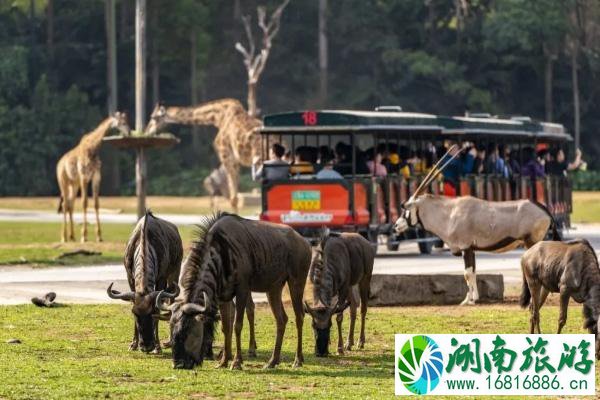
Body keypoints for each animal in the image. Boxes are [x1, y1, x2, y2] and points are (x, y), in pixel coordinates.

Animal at [56, 113, 130, 244]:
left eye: (127, 121)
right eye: (123, 122)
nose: (129, 132)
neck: (93, 148)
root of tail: (59, 163)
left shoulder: (96, 176)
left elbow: (96, 204)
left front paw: (99, 236)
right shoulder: (83, 176)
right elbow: (84, 203)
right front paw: (84, 236)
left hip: (73, 184)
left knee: (70, 204)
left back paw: (72, 236)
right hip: (63, 181)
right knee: (65, 204)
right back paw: (64, 237)